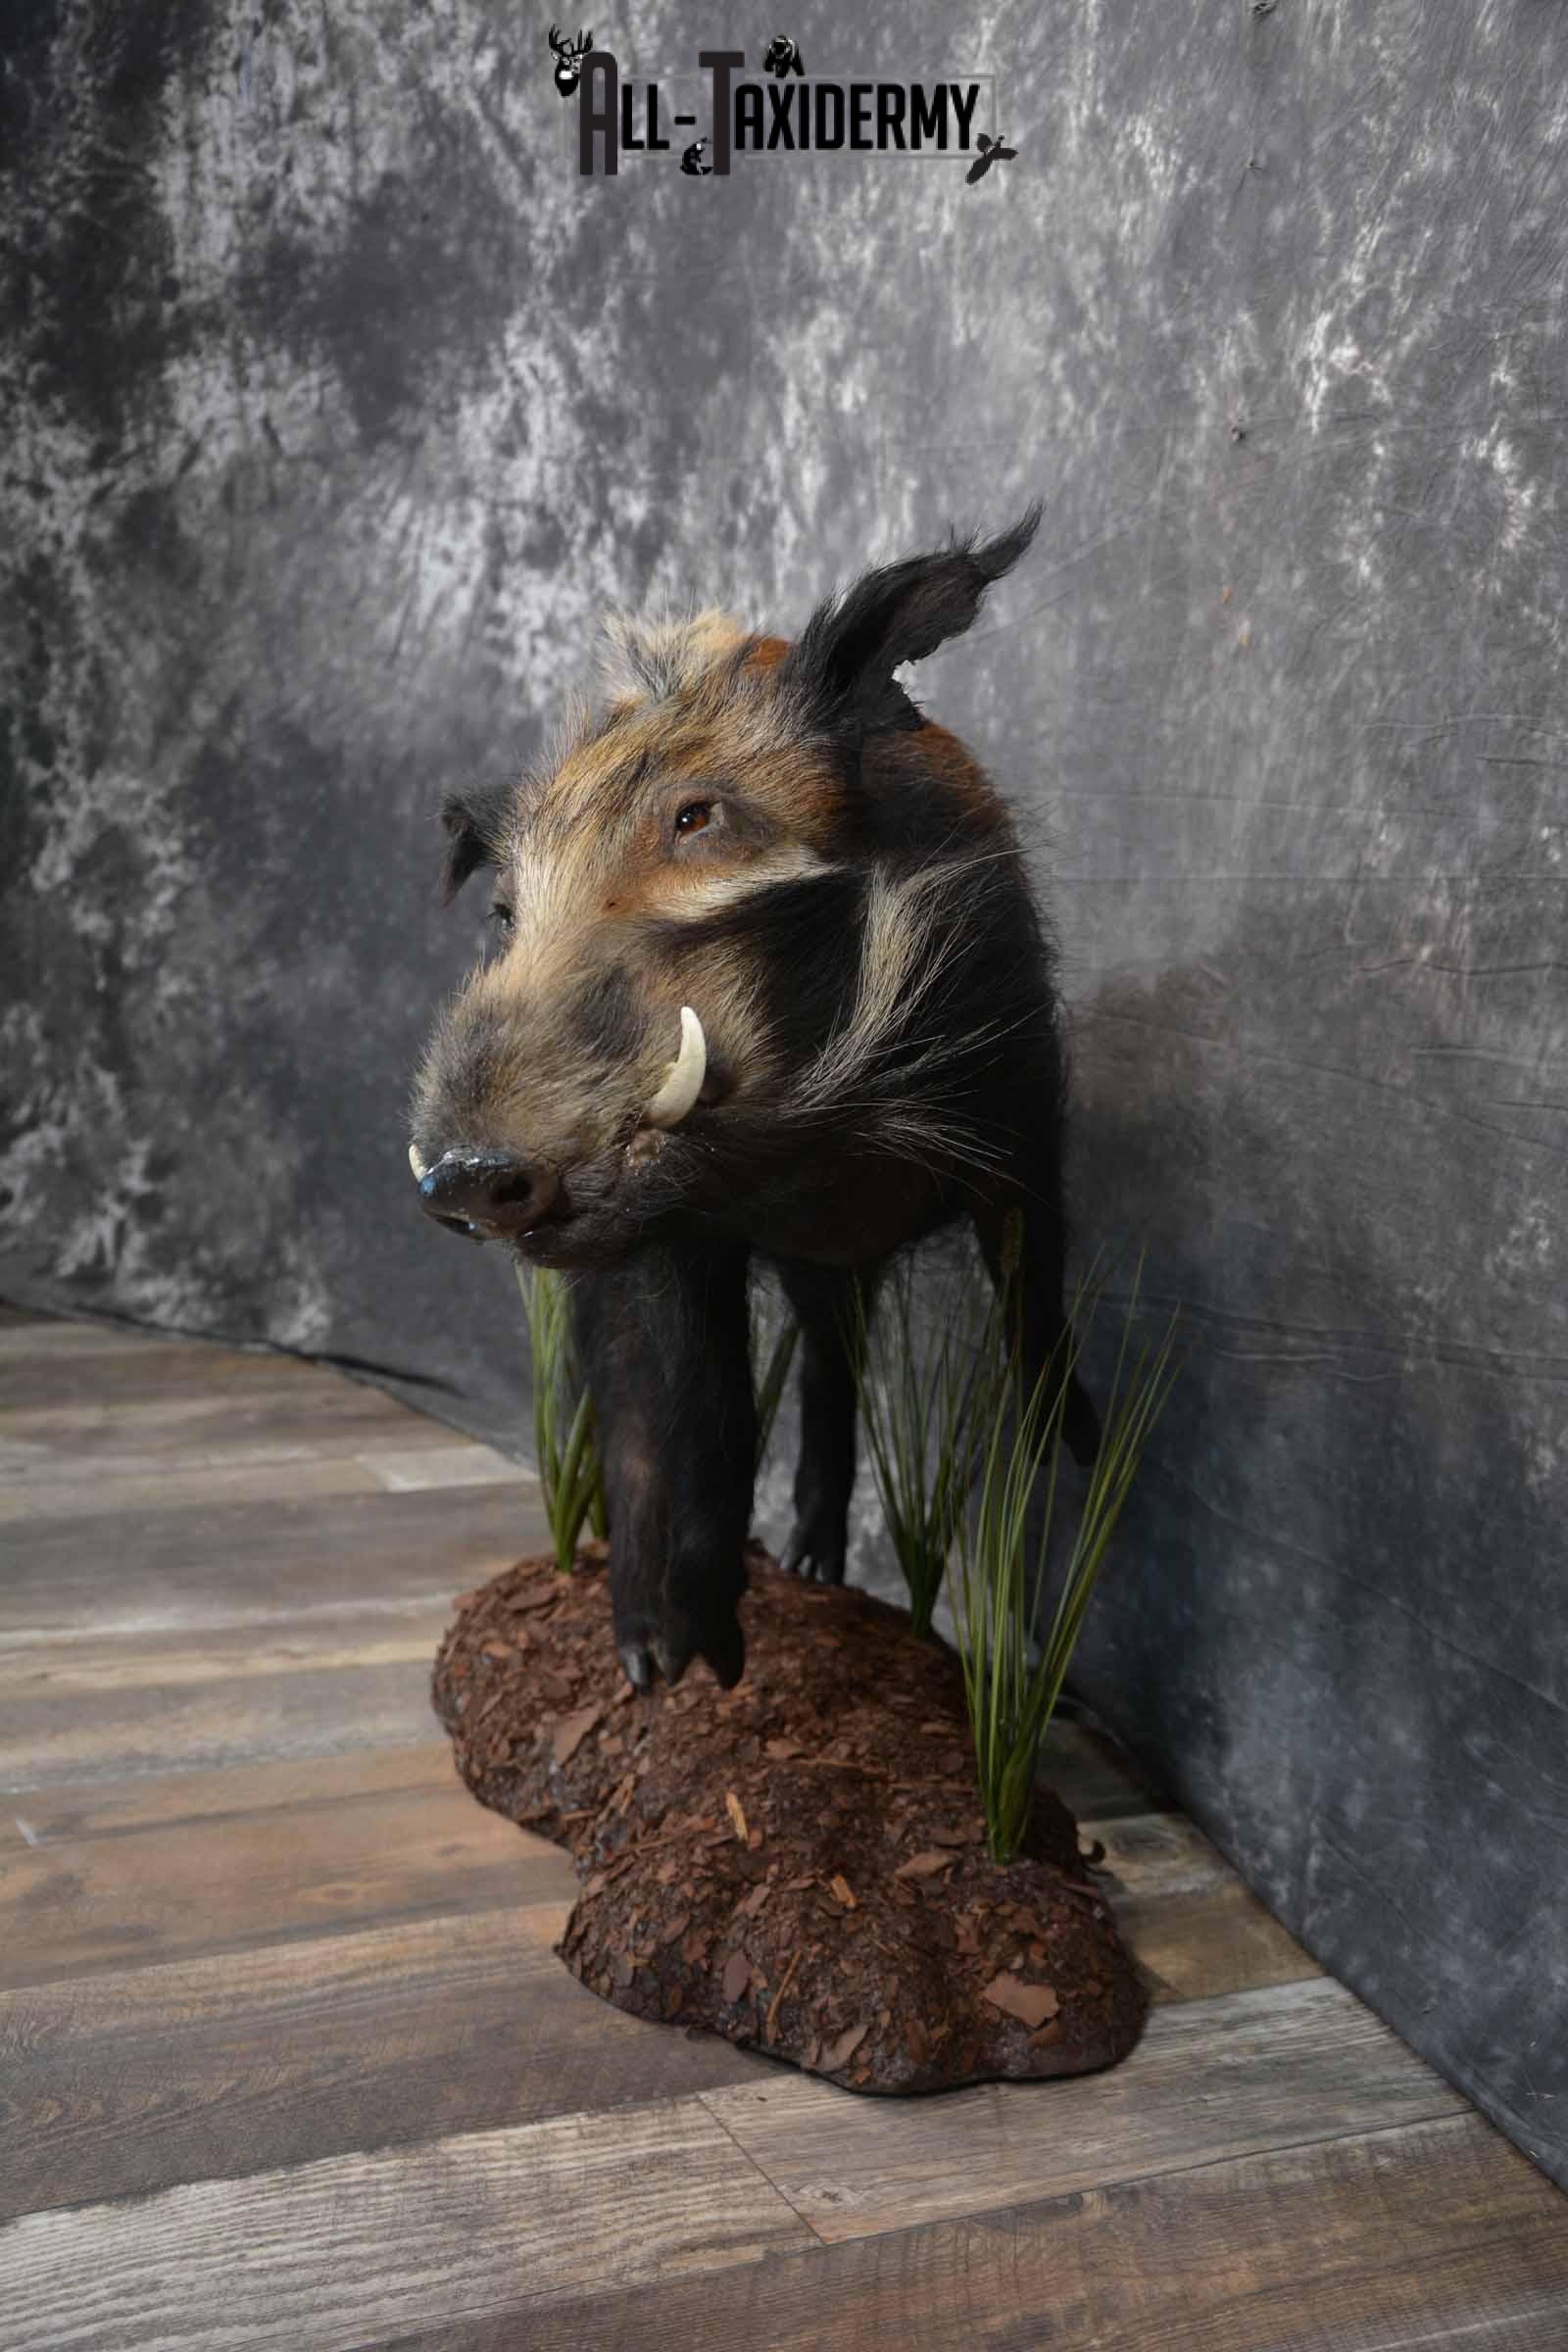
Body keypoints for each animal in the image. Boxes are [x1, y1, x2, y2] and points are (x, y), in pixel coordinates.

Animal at [409, 507, 1099, 1693]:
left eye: (698, 817)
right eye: (503, 911)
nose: (465, 1174)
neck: (811, 1151)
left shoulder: (1017, 1110)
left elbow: (1031, 1281)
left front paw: (1079, 1445)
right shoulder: (666, 1239)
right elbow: (695, 1412)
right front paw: (694, 1667)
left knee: (831, 1361)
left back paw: (821, 1568)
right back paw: (692, 1634)